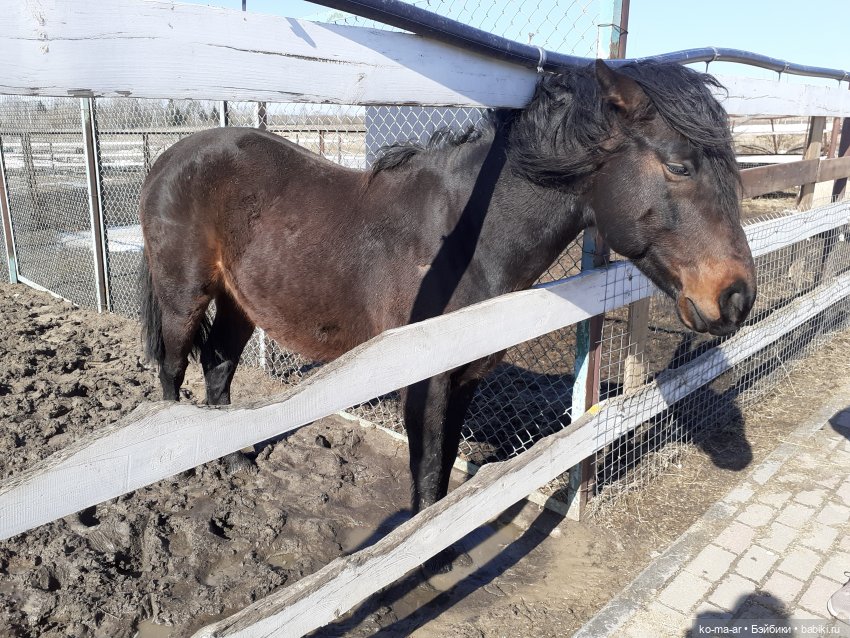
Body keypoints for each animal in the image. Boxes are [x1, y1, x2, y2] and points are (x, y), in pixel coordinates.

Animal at [139, 59, 756, 565]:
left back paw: (236, 463)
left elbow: (446, 463)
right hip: (184, 295)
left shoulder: (465, 379)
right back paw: (180, 469)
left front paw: (443, 544)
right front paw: (423, 558)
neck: (459, 241)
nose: (737, 297)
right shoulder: (425, 380)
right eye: (679, 166)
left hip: (239, 299)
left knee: (218, 364)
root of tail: (168, 157)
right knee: (172, 370)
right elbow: (428, 468)